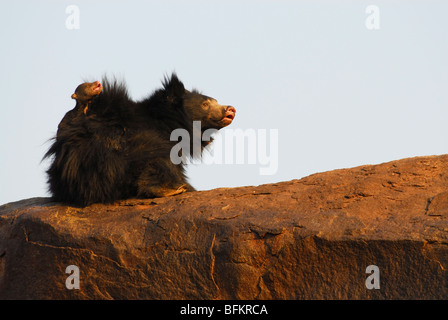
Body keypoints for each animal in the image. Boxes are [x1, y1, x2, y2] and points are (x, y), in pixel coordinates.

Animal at [43, 74, 236, 206]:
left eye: (215, 101)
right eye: (205, 104)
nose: (230, 109)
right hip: (122, 155)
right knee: (156, 163)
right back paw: (173, 189)